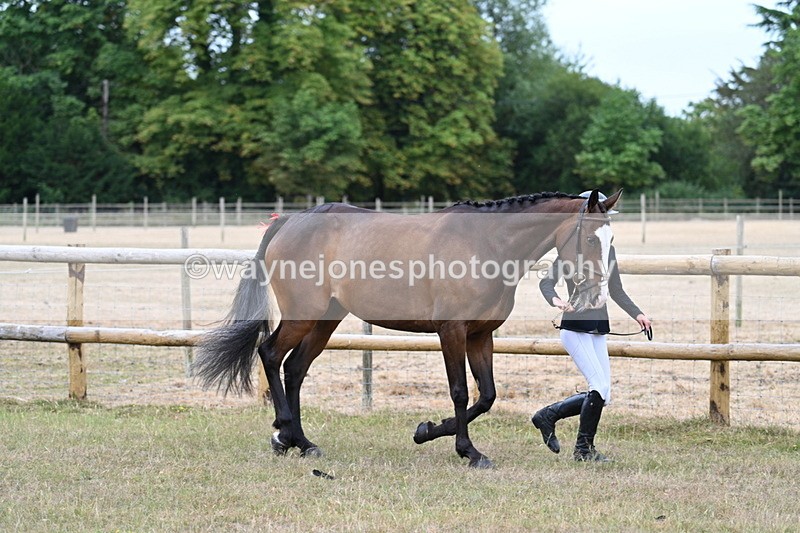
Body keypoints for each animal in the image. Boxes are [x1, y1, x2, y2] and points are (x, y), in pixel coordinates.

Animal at [193, 189, 622, 468]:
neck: (487, 243)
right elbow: (460, 391)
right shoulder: (452, 331)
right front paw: (469, 452)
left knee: (294, 368)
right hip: (303, 314)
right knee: (270, 354)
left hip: (326, 319)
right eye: (589, 236)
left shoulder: (480, 335)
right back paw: (284, 434)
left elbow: (486, 395)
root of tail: (289, 221)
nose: (597, 291)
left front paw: (427, 430)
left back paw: (301, 442)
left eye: (611, 237)